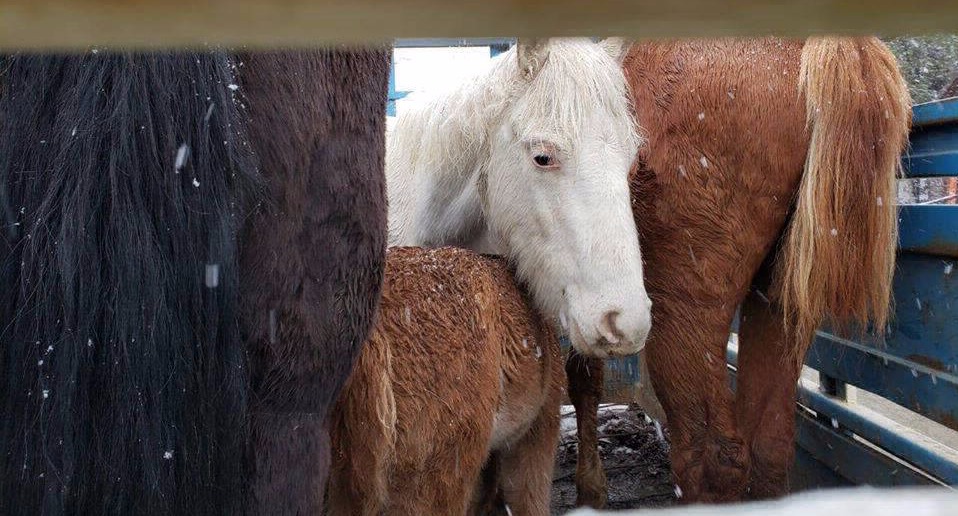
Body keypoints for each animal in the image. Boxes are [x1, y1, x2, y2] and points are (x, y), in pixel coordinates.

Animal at [568, 37, 916, 508]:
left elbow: (582, 380)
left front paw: (590, 491)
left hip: (682, 303)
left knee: (713, 454)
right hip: (779, 299)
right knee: (769, 441)